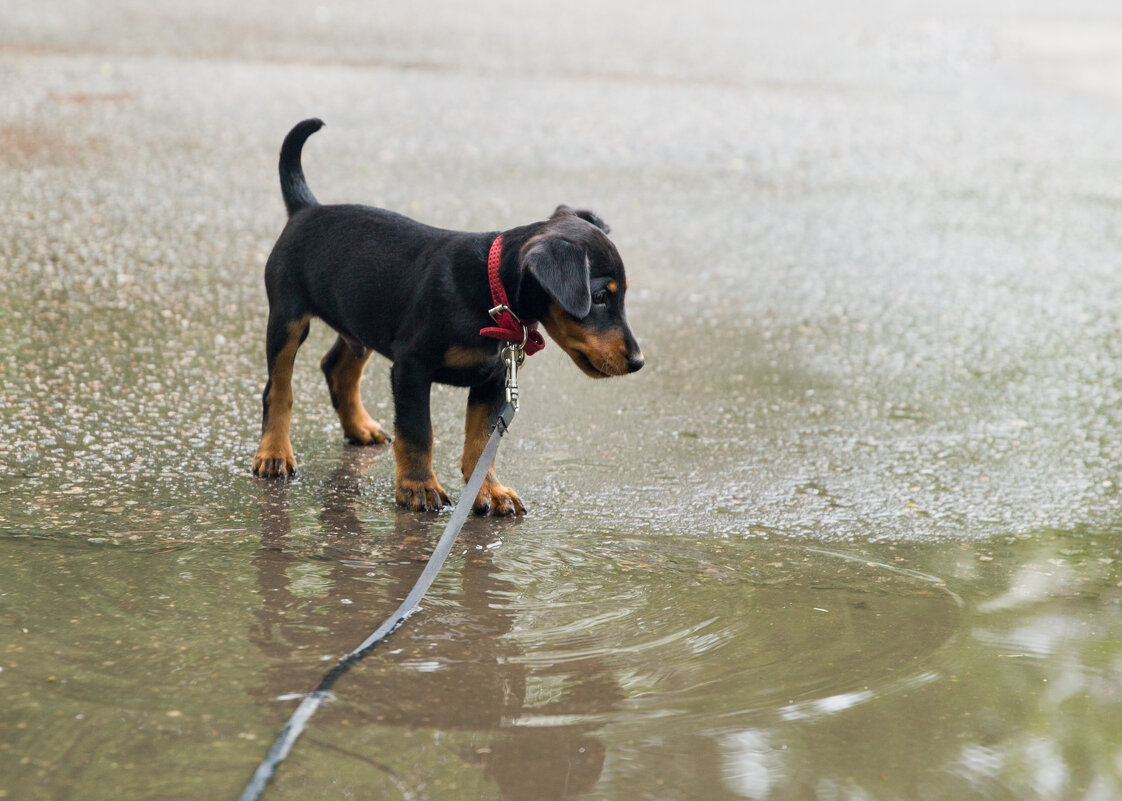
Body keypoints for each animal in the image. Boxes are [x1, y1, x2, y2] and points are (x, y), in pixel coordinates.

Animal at [251, 120, 646, 518]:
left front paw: (489, 490)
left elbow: (481, 441)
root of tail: (306, 208)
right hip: (287, 318)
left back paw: (359, 427)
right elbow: (418, 432)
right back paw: (274, 454)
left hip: (360, 318)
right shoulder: (411, 367)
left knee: (337, 367)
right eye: (600, 297)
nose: (638, 362)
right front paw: (418, 487)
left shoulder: (493, 379)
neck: (490, 294)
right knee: (278, 389)